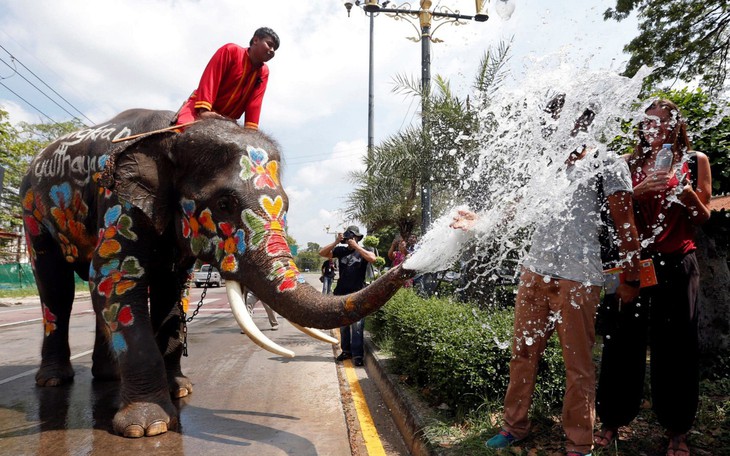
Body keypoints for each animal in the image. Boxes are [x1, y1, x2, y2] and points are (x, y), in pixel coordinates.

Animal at [19, 109, 412, 438]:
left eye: (286, 205)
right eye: (224, 204)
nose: (406, 265)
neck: (175, 131)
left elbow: (171, 290)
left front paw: (181, 389)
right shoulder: (120, 203)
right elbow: (114, 277)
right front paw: (147, 427)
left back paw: (106, 377)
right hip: (32, 213)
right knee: (57, 289)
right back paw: (54, 381)